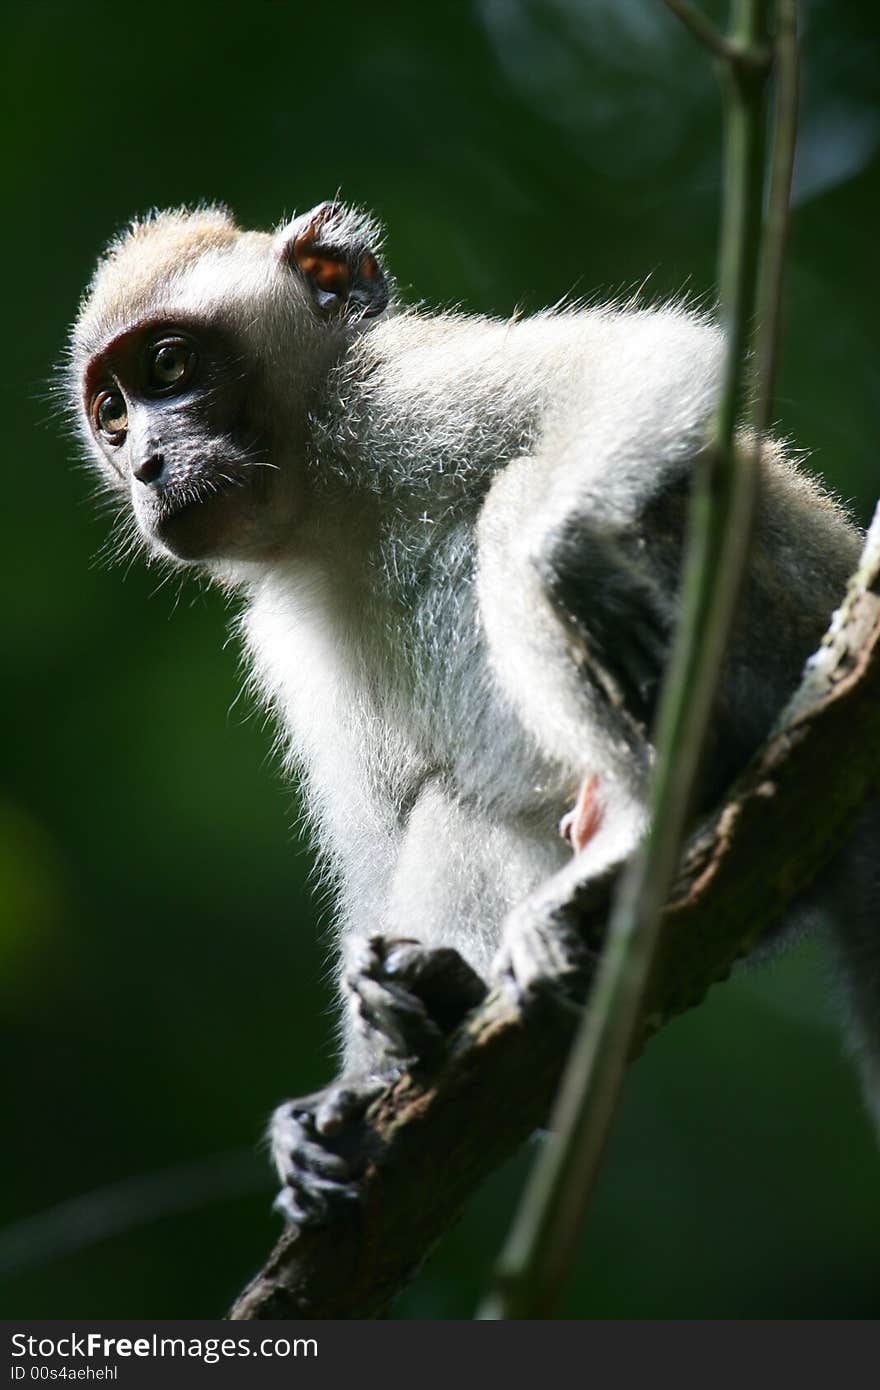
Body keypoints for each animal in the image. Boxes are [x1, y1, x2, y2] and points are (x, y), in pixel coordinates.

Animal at [70, 201, 878, 1223]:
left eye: (170, 367)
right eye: (111, 414)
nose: (145, 462)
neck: (326, 505)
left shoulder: (401, 393)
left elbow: (650, 358)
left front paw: (566, 551)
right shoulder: (280, 636)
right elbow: (382, 828)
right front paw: (351, 1086)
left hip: (754, 634)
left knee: (529, 510)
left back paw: (641, 830)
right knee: (457, 806)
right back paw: (446, 992)